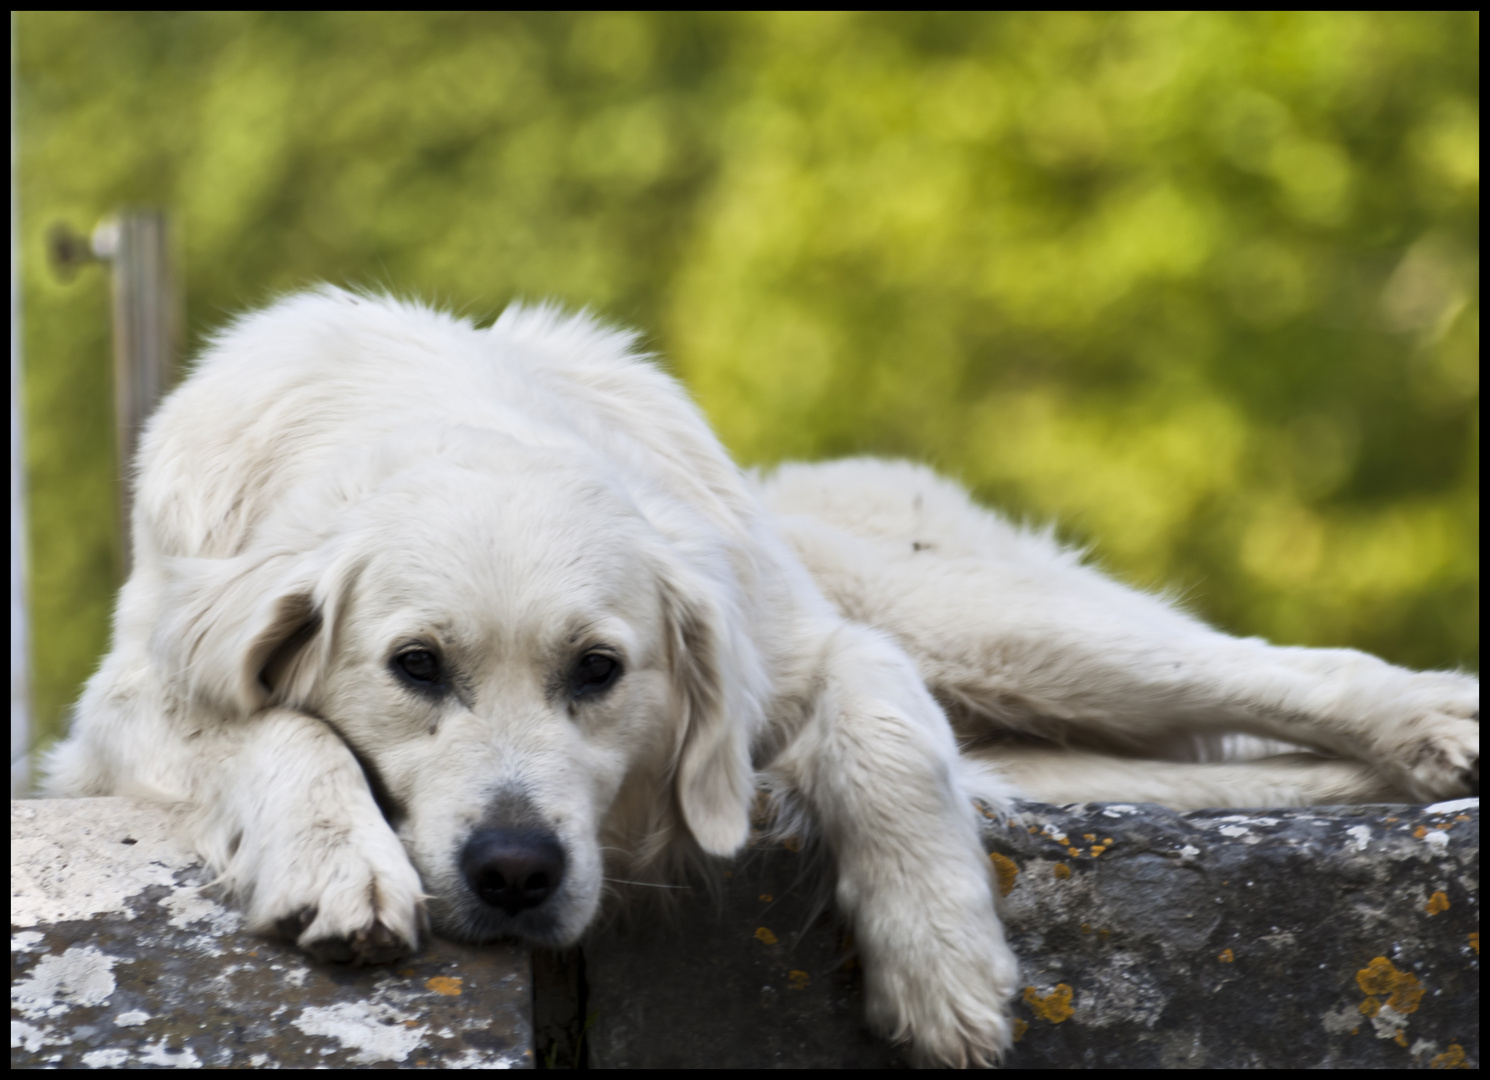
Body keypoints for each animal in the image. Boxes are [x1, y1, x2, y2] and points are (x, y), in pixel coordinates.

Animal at [46, 284, 1478, 1060]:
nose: (514, 873)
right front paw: (335, 858)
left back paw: (1433, 723)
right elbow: (266, 726)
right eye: (414, 666)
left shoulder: (813, 643)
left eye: (598, 670)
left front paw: (939, 967)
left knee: (1261, 671)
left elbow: (885, 744)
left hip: (990, 627)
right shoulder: (121, 705)